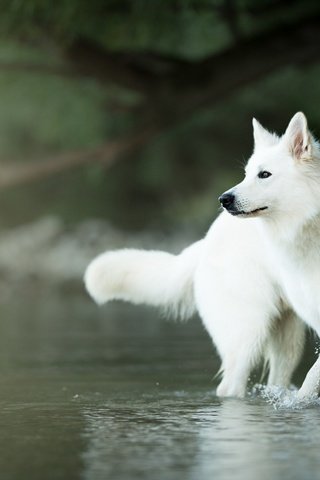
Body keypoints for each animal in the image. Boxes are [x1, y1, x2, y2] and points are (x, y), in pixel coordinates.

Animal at [85, 111, 320, 398]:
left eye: (264, 174)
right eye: (246, 174)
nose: (224, 199)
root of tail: (207, 239)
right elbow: (312, 377)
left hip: (287, 341)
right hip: (248, 333)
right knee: (230, 387)